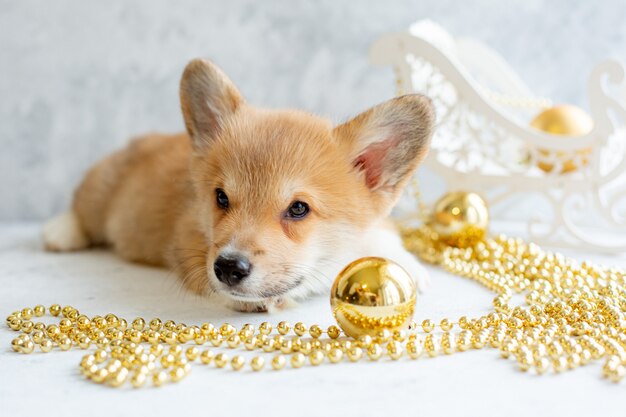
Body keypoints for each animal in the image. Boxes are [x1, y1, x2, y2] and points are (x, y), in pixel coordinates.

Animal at [44, 59, 434, 312]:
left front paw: (409, 266)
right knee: (82, 208)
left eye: (298, 208)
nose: (229, 268)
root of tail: (139, 140)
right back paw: (59, 232)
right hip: (99, 195)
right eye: (221, 197)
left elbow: (383, 236)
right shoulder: (190, 246)